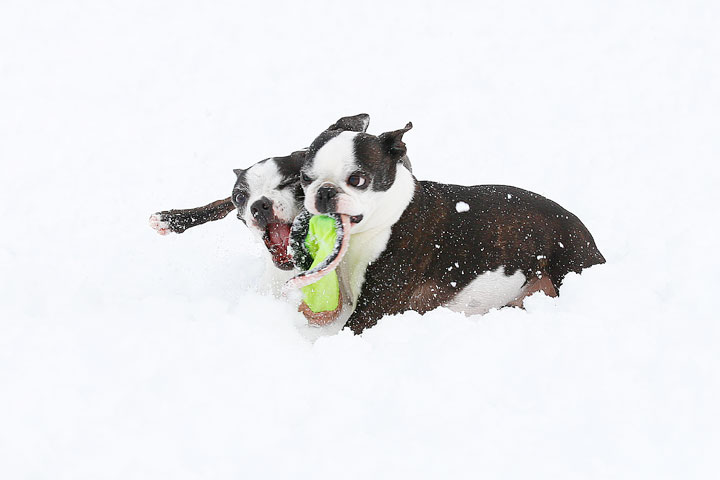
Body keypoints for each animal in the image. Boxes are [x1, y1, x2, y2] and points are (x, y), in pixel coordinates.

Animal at [296, 120, 604, 334]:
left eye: (357, 180)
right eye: (304, 177)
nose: (324, 192)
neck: (383, 221)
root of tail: (586, 233)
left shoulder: (372, 310)